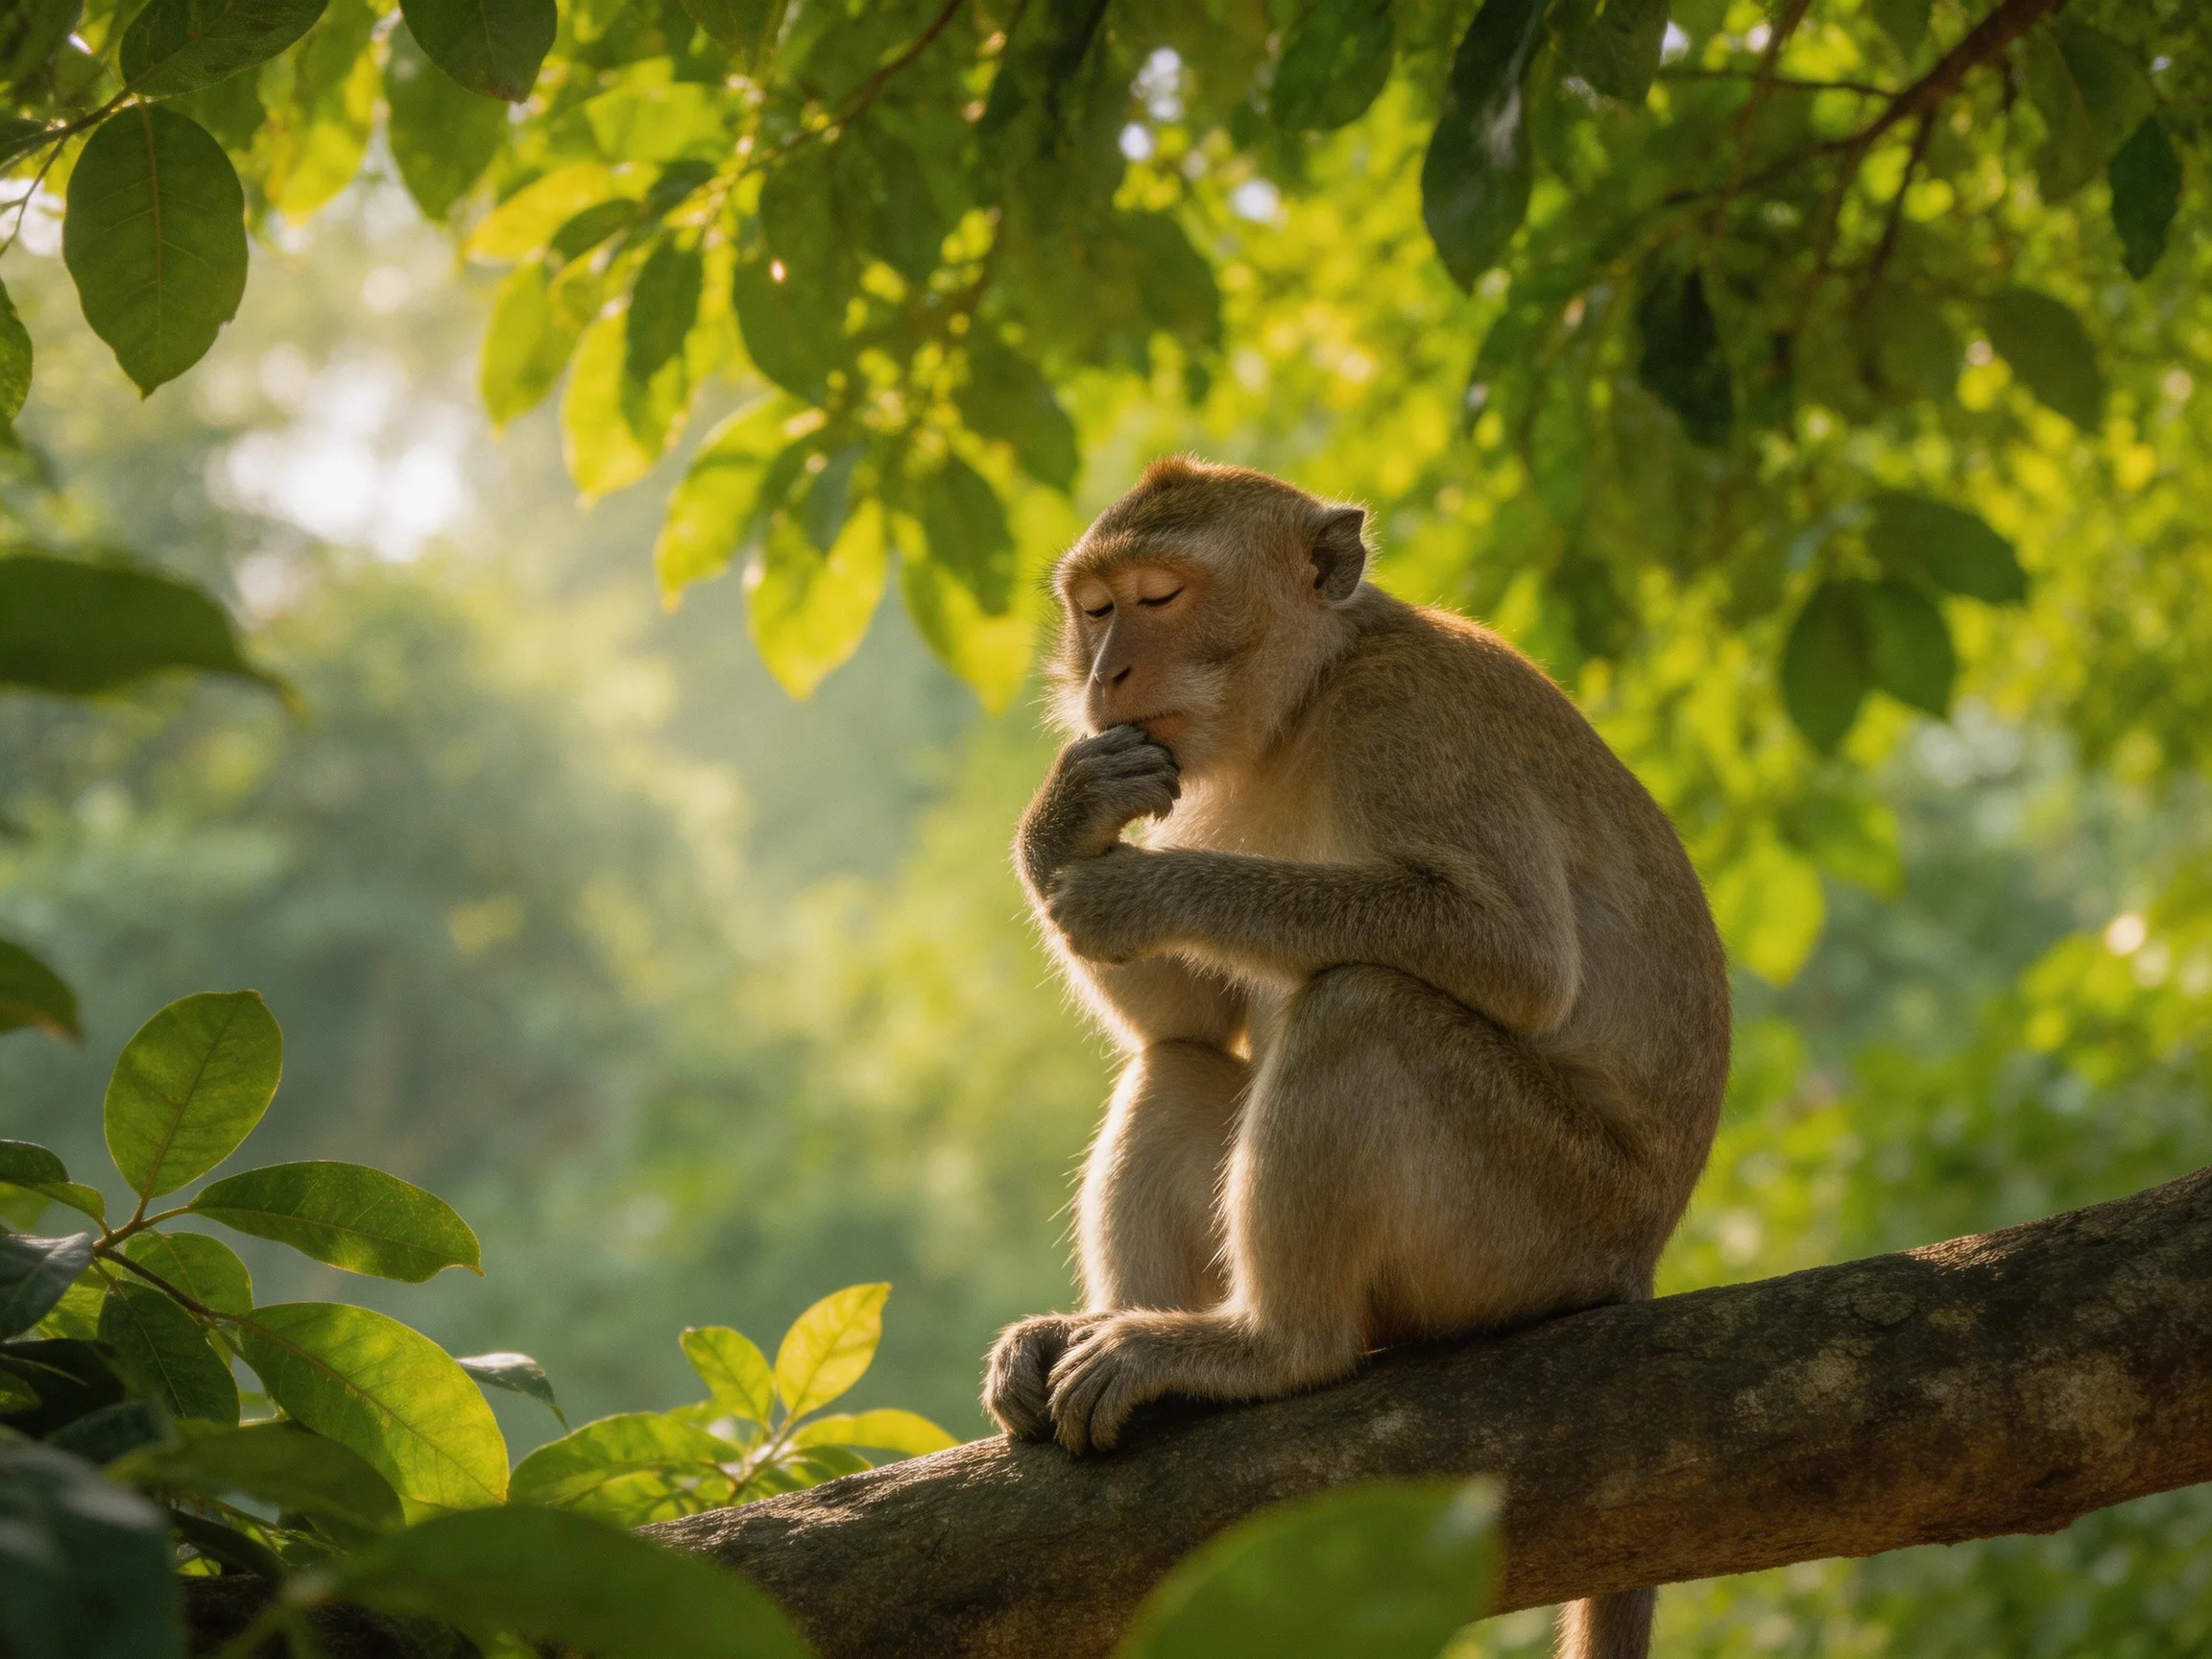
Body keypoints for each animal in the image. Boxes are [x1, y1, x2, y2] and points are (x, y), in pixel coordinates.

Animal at [981, 457, 1730, 1659]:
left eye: (1158, 597)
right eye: (1093, 609)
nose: (1105, 671)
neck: (1305, 702)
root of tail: (1636, 1262)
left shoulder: (1411, 722)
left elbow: (1517, 958)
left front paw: (1144, 888)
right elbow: (1197, 1018)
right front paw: (1064, 820)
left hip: (1537, 1226)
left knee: (1363, 1009)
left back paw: (1266, 1346)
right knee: (1186, 1062)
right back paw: (1104, 1330)